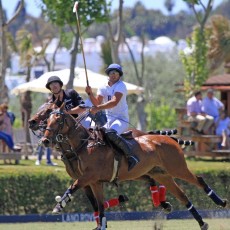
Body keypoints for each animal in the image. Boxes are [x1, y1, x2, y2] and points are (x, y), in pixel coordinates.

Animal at [41, 105, 226, 230]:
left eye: (58, 120)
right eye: (46, 121)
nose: (45, 140)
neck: (83, 146)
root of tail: (170, 139)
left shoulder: (88, 177)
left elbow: (73, 187)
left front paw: (59, 206)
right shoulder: (94, 182)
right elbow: (99, 207)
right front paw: (101, 224)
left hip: (177, 167)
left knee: (199, 180)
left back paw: (220, 201)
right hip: (161, 174)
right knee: (182, 196)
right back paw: (201, 222)